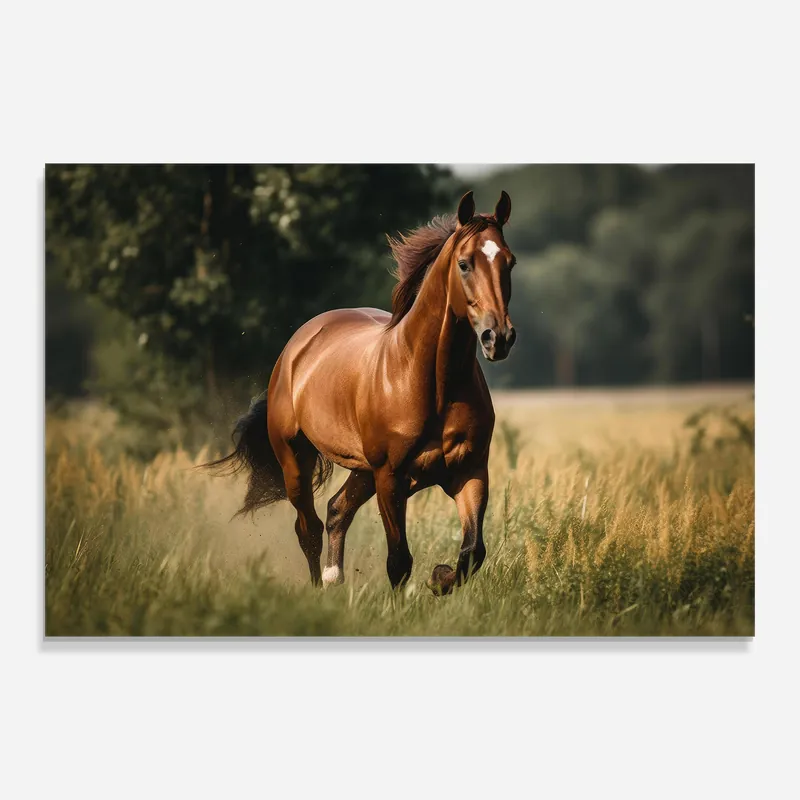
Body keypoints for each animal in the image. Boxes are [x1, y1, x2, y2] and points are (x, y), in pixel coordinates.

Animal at [204, 191, 516, 595]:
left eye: (509, 262)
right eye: (464, 264)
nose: (499, 338)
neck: (433, 385)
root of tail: (295, 348)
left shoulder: (470, 471)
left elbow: (472, 551)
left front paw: (439, 577)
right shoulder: (390, 477)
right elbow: (399, 561)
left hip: (363, 470)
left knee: (337, 510)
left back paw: (333, 577)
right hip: (296, 461)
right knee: (309, 529)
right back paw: (319, 588)